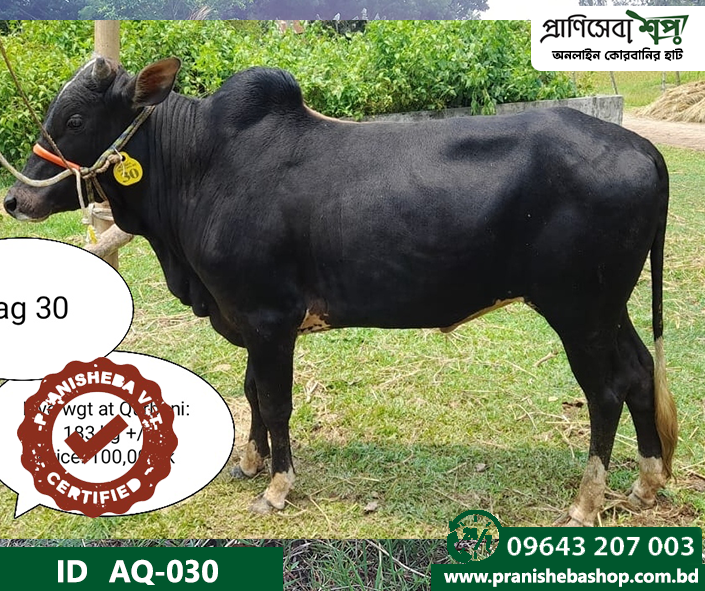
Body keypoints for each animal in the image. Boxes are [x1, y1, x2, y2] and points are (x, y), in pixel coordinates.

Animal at [4, 57, 677, 525]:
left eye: (75, 119)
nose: (16, 198)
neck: (200, 167)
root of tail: (644, 147)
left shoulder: (269, 316)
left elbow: (275, 400)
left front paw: (277, 487)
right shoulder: (246, 317)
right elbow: (252, 389)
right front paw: (251, 462)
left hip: (578, 308)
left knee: (606, 391)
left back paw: (588, 500)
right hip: (607, 306)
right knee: (640, 371)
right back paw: (646, 481)